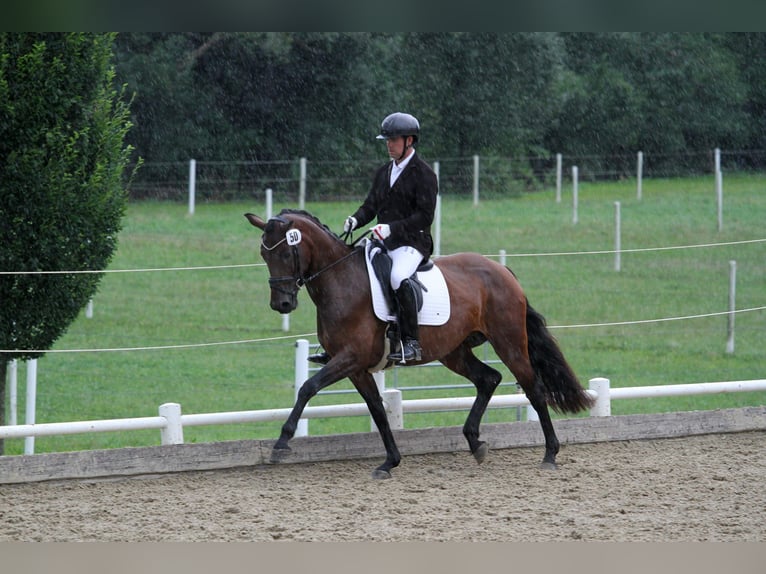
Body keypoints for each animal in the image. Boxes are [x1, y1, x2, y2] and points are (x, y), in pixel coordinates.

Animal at [246, 209, 592, 480]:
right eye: (264, 255)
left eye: (285, 253)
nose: (282, 304)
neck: (341, 282)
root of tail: (502, 271)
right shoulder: (356, 368)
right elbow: (377, 410)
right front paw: (389, 462)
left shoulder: (349, 357)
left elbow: (308, 388)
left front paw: (281, 443)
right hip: (454, 351)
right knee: (488, 379)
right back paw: (475, 443)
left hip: (508, 343)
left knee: (533, 388)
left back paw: (549, 454)